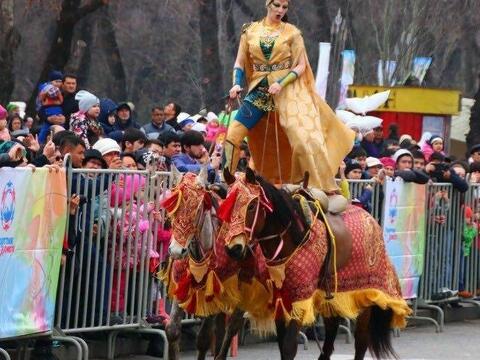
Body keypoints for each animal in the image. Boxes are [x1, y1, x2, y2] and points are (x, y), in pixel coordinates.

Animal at [219, 169, 406, 360]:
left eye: (251, 206)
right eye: (226, 205)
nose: (234, 248)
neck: (292, 240)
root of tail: (371, 219)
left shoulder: (301, 296)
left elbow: (288, 346)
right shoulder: (278, 296)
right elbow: (279, 343)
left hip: (366, 295)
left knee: (361, 340)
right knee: (330, 337)